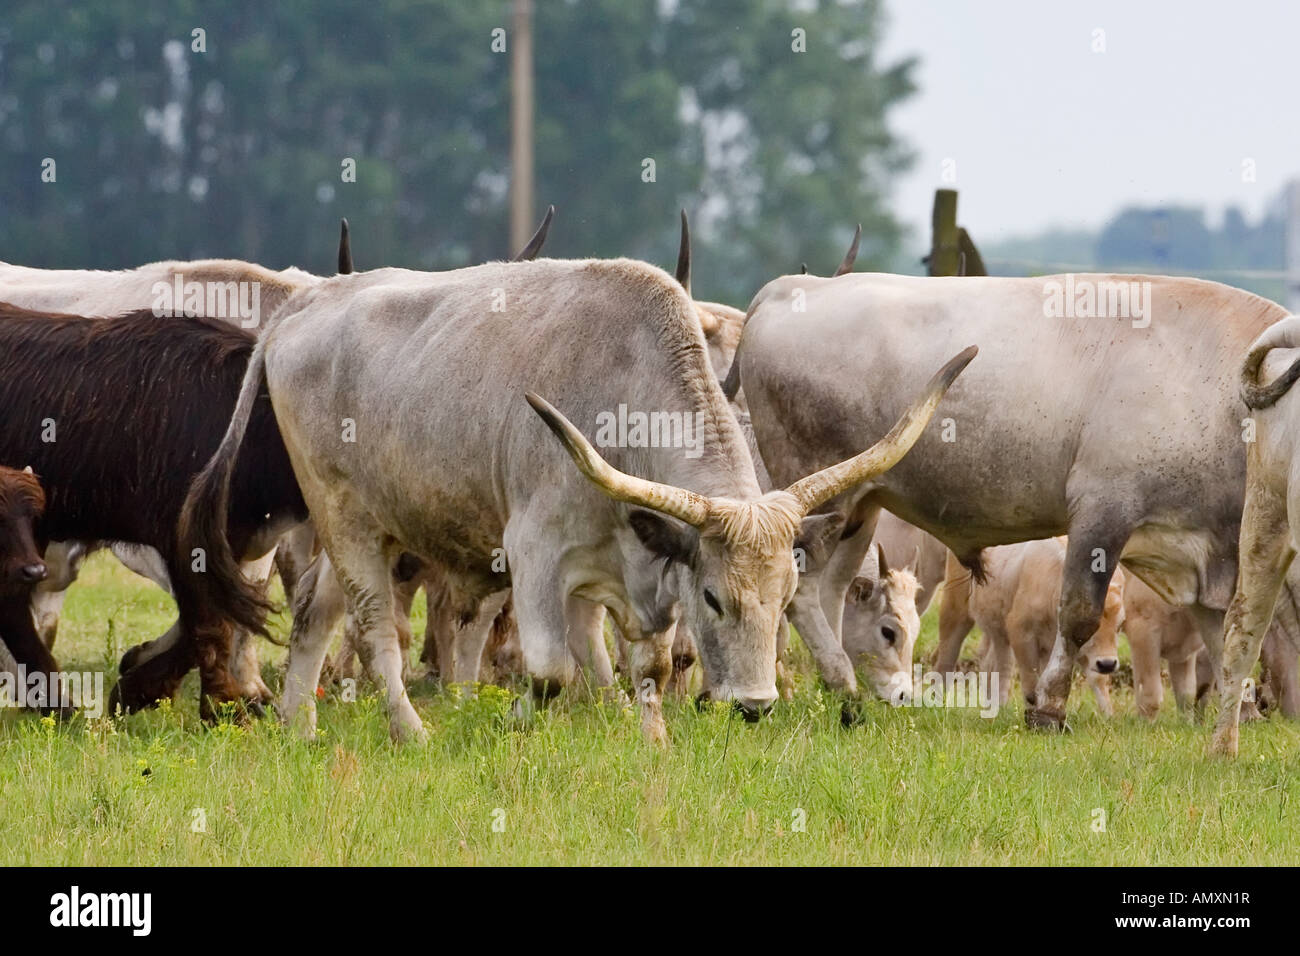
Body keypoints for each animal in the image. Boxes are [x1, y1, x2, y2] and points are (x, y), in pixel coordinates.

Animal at [181, 258, 974, 743]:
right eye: (714, 598)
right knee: (376, 631)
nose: (754, 707)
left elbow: (650, 668)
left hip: (371, 523)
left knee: (314, 612)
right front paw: (514, 725)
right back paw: (412, 732)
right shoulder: (532, 554)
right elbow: (551, 671)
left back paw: (298, 726)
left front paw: (654, 741)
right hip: (345, 520)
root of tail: (307, 304)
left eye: (785, 601)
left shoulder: (641, 562)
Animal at [726, 271, 1290, 728]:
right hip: (821, 493)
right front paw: (1049, 709)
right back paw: (841, 685)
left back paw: (845, 692)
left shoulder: (1204, 551)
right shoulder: (1103, 514)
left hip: (859, 506)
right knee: (802, 591)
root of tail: (792, 287)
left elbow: (1228, 629)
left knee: (832, 592)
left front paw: (1237, 714)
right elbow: (1079, 614)